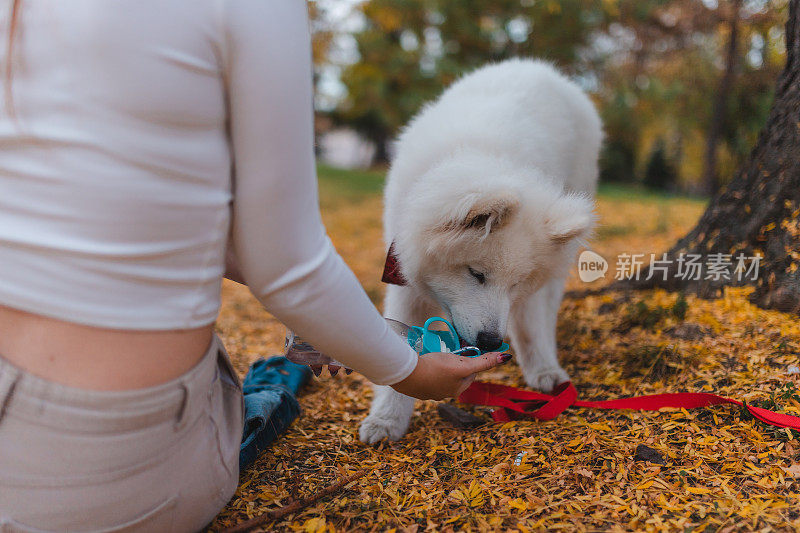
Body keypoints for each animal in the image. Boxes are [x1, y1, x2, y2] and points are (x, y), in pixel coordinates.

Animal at [360, 58, 600, 442]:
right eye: (476, 274)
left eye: (515, 284)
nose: (490, 341)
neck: (478, 152)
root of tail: (537, 66)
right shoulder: (402, 272)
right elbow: (404, 350)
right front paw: (386, 419)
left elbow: (529, 324)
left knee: (544, 312)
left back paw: (545, 367)